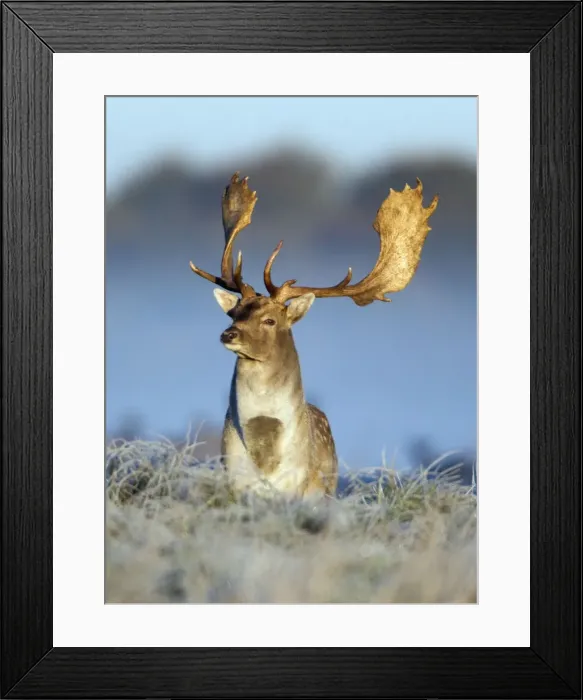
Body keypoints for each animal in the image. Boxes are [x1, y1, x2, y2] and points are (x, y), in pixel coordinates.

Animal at [189, 173, 438, 499]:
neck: (265, 458)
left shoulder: (298, 489)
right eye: (234, 313)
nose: (228, 334)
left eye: (270, 320)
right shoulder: (234, 480)